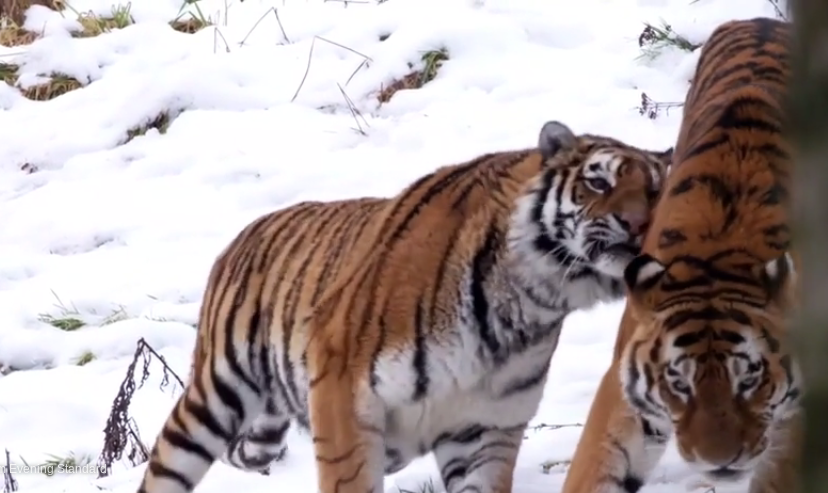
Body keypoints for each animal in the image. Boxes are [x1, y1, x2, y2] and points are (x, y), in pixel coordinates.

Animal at [135, 120, 672, 493]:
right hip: (215, 394)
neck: (533, 303)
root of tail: (246, 233)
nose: (638, 225)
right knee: (167, 461)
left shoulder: (487, 429)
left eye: (655, 190)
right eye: (598, 183)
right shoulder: (341, 393)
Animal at [560, 17, 801, 493]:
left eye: (750, 379)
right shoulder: (625, 385)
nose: (719, 462)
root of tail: (761, 20)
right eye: (678, 384)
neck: (720, 255)